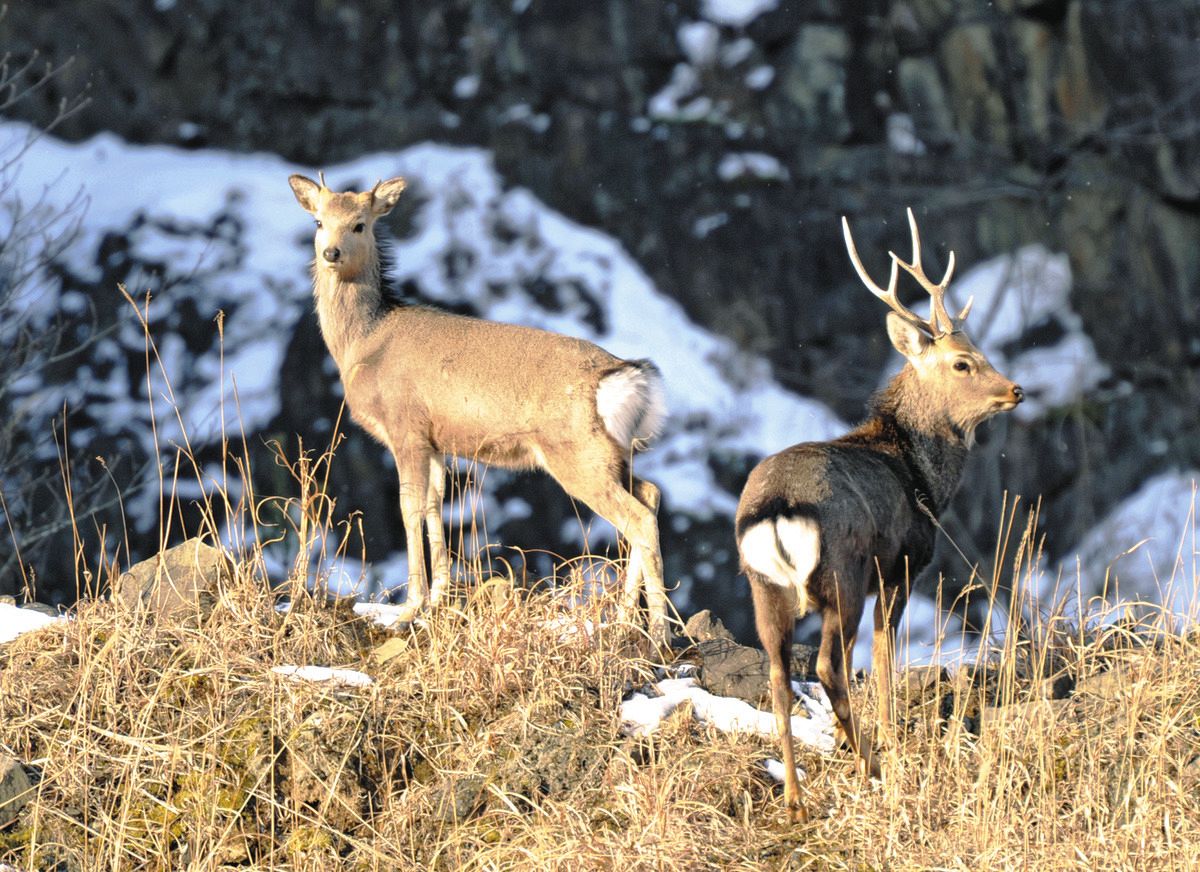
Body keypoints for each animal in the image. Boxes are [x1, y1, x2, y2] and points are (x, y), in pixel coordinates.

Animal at [285, 173, 672, 642]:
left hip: (577, 454)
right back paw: (622, 621)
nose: (331, 253)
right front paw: (438, 600)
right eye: (319, 222)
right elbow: (434, 505)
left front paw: (408, 608)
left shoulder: (405, 426)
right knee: (650, 494)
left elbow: (409, 508)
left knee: (638, 518)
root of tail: (625, 377)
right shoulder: (435, 440)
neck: (365, 345)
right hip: (614, 453)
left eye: (360, 224)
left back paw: (658, 633)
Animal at [734, 207, 1027, 820]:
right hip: (841, 570)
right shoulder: (902, 566)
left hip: (764, 586)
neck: (919, 471)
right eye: (963, 362)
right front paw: (890, 736)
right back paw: (869, 764)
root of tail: (775, 510)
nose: (1015, 389)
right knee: (827, 666)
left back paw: (796, 798)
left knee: (779, 673)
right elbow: (884, 654)